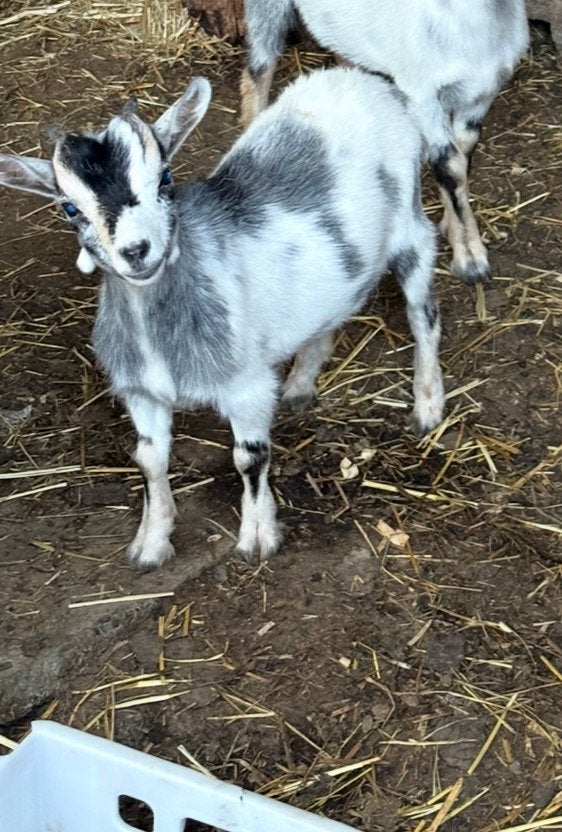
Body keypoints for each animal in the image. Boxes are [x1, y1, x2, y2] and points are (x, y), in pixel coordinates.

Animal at [0, 68, 444, 568]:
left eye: (165, 179)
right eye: (70, 208)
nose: (136, 252)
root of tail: (362, 78)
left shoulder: (246, 387)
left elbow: (250, 457)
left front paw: (258, 537)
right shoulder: (140, 392)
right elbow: (149, 459)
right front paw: (152, 542)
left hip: (411, 227)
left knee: (423, 315)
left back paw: (428, 404)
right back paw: (301, 383)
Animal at [241, 0, 529, 284]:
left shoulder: (483, 92)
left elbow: (464, 151)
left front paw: (451, 225)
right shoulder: (422, 93)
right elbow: (449, 165)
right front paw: (470, 260)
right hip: (266, 10)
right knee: (257, 72)